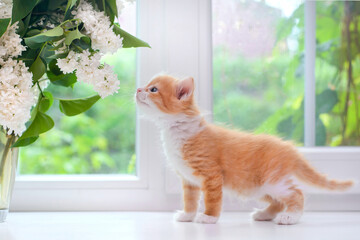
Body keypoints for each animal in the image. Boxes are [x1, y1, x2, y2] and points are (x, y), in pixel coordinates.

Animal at [136, 74, 352, 224]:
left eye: (153, 89)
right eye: (146, 86)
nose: (138, 89)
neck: (175, 130)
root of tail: (289, 148)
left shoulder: (211, 175)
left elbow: (212, 199)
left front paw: (209, 217)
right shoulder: (189, 180)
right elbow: (189, 200)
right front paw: (187, 216)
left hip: (273, 181)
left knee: (296, 194)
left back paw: (290, 217)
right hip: (256, 186)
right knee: (279, 200)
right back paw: (264, 214)